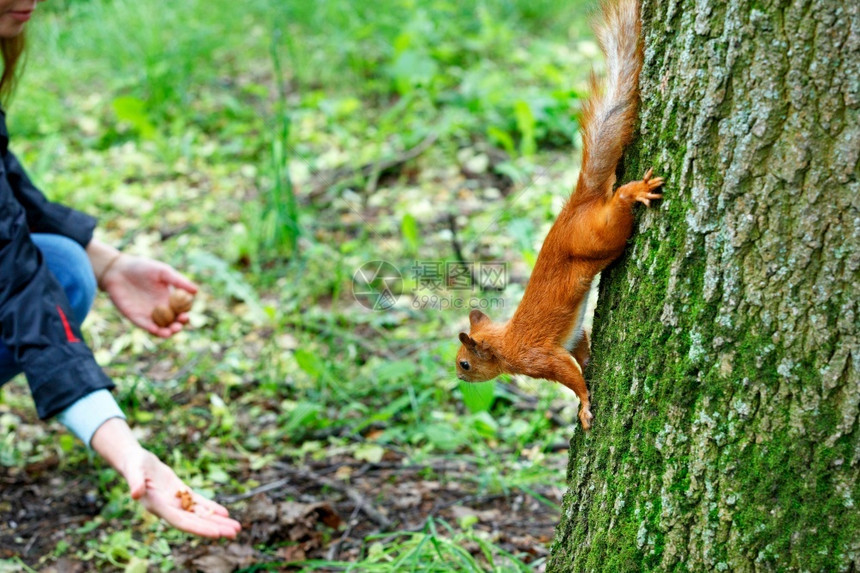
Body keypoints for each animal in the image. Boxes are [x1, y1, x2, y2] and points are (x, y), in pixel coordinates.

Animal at [456, 0, 664, 428]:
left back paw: (632, 191)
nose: (458, 378)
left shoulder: (539, 357)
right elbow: (581, 351)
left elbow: (570, 375)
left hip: (598, 236)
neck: (505, 341)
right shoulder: (572, 338)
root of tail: (577, 205)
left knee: (617, 208)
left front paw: (583, 404)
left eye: (465, 363)